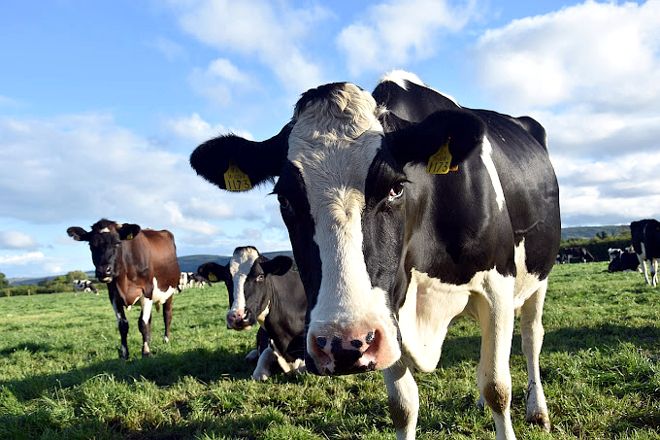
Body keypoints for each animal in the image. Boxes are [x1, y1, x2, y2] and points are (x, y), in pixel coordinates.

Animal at [67, 219, 180, 359]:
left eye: (117, 243)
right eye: (91, 245)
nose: (103, 270)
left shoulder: (147, 292)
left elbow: (142, 323)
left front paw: (146, 352)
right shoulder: (114, 296)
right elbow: (123, 325)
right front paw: (124, 354)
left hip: (169, 292)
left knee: (167, 315)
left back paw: (166, 339)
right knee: (150, 319)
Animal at [190, 70, 560, 439]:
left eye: (395, 188)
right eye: (285, 199)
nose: (341, 344)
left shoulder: (497, 285)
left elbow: (497, 387)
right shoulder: (387, 310)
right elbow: (403, 406)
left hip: (537, 279)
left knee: (531, 338)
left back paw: (537, 410)